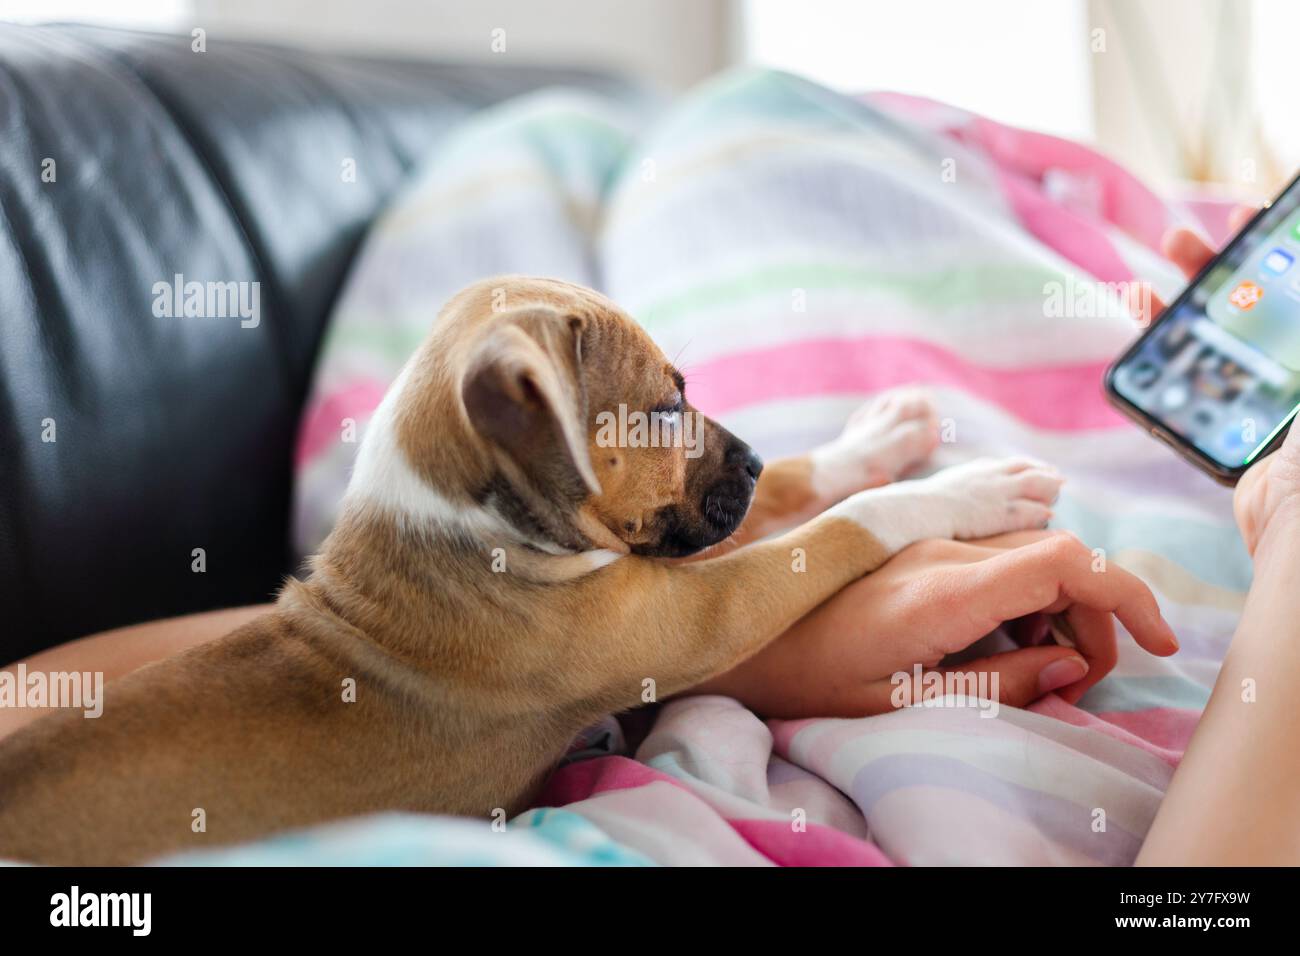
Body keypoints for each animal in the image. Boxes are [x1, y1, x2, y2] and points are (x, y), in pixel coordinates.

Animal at [0, 277, 1055, 868]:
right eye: (663, 410)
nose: (750, 460)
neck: (468, 521)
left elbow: (807, 491)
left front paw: (870, 441)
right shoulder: (690, 611)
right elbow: (836, 532)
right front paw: (968, 490)